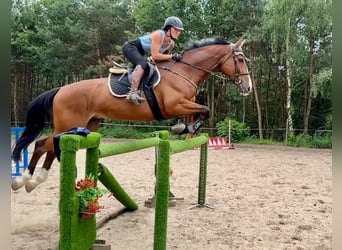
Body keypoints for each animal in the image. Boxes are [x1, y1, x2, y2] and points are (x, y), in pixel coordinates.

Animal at [11, 36, 251, 192]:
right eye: (239, 60)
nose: (247, 88)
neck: (184, 71)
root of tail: (60, 89)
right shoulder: (175, 105)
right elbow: (205, 111)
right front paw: (184, 127)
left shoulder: (186, 104)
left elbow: (202, 112)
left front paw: (182, 128)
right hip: (69, 124)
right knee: (42, 144)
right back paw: (23, 181)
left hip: (85, 125)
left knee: (51, 146)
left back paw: (34, 181)